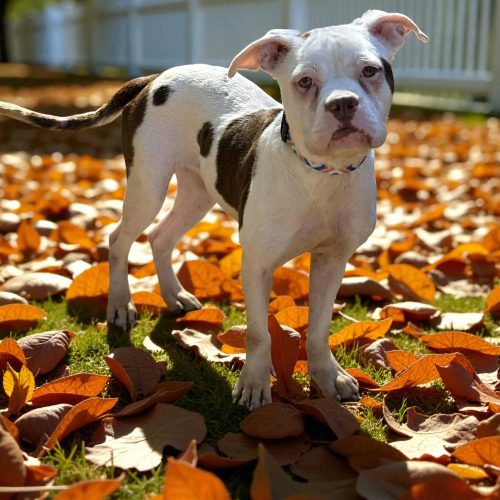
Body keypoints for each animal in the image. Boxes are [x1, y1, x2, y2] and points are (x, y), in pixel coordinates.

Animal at [0, 10, 427, 409]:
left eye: (370, 70)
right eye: (304, 82)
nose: (343, 104)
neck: (321, 174)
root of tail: (153, 78)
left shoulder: (332, 259)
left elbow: (320, 328)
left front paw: (328, 376)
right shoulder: (256, 265)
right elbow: (257, 333)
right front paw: (254, 385)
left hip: (197, 193)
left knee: (160, 237)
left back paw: (174, 296)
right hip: (148, 185)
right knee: (120, 238)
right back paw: (120, 305)